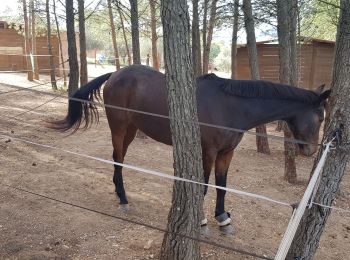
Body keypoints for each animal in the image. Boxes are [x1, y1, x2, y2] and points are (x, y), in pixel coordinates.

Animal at [50, 65, 330, 232]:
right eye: (320, 117)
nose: (309, 151)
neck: (231, 106)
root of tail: (115, 75)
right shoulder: (208, 152)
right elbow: (203, 186)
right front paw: (202, 220)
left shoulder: (226, 153)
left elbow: (221, 186)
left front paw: (223, 218)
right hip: (119, 129)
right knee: (117, 159)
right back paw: (123, 198)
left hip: (130, 130)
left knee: (119, 158)